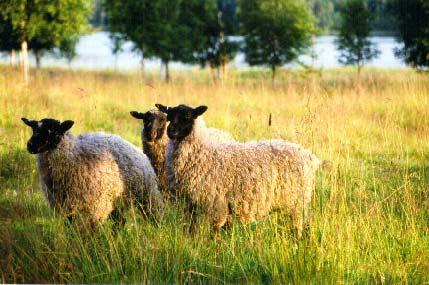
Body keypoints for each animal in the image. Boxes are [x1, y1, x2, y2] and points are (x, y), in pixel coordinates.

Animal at [20, 116, 163, 226]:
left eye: (53, 132)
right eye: (34, 129)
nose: (30, 145)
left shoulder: (97, 205)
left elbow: (93, 228)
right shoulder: (65, 206)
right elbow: (70, 226)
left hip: (146, 194)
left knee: (153, 215)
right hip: (117, 199)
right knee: (120, 221)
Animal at [157, 103, 324, 236]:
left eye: (187, 116)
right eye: (169, 116)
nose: (170, 131)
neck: (201, 153)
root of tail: (308, 156)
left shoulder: (214, 204)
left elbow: (212, 232)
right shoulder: (191, 205)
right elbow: (192, 230)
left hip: (297, 202)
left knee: (298, 226)